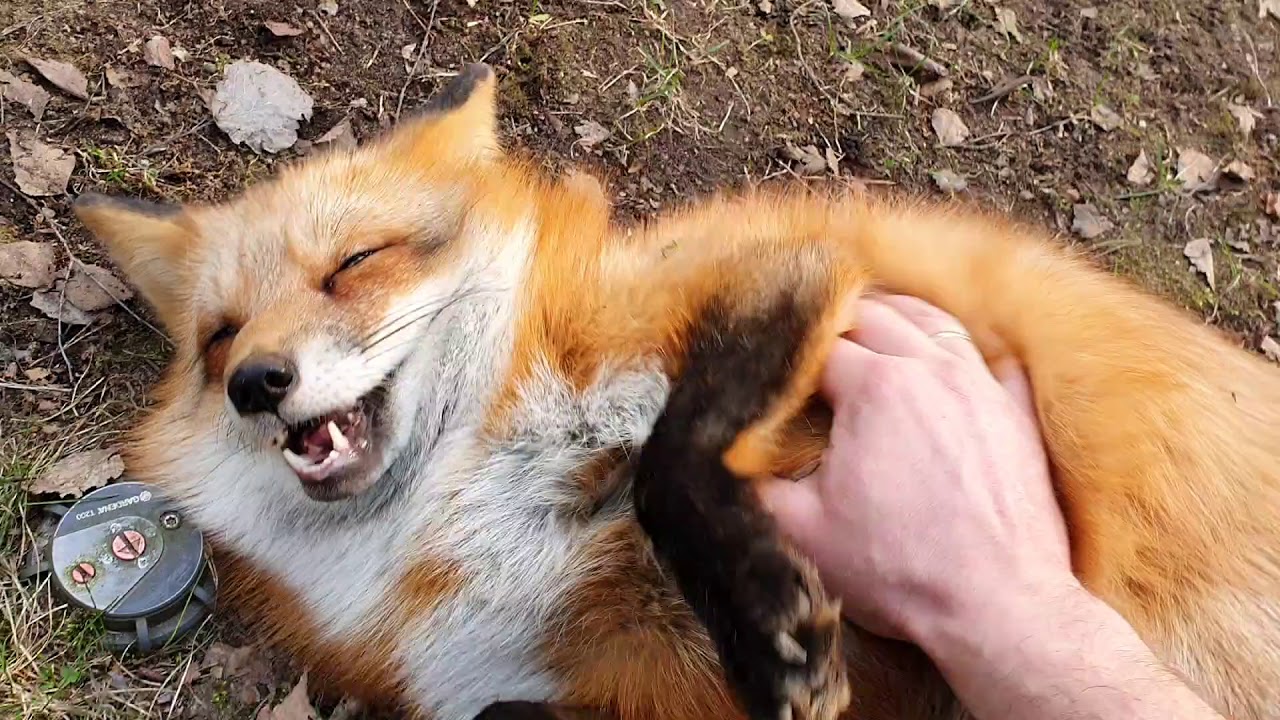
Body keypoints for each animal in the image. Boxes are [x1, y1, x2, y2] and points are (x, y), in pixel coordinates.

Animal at [72, 63, 1280, 720]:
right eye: (220, 337)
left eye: (353, 265)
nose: (256, 383)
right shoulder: (580, 680)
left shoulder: (806, 271)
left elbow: (667, 463)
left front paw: (764, 621)